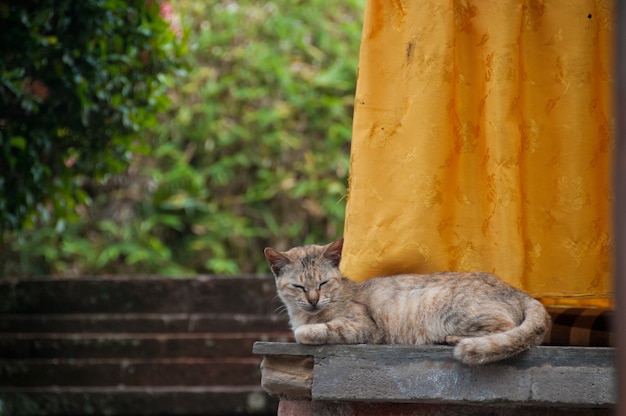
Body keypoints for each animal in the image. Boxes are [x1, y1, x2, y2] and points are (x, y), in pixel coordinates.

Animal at [266, 237, 548, 364]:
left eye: (323, 283)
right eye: (299, 286)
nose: (313, 300)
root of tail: (516, 290)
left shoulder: (364, 327)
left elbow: (311, 331)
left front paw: (306, 331)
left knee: (507, 330)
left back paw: (452, 339)